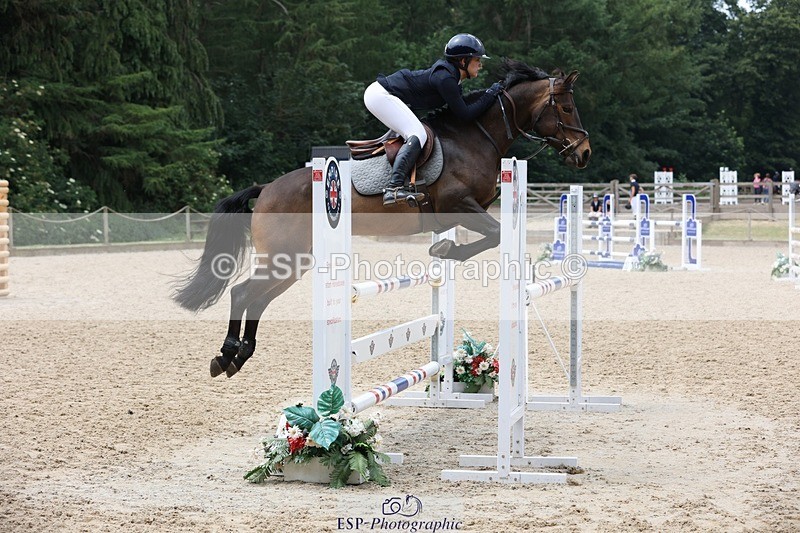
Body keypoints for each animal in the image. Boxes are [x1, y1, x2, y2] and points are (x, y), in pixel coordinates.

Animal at [172, 58, 592, 378]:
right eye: (566, 108)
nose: (584, 153)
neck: (477, 137)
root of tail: (267, 188)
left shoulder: (468, 210)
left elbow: (492, 235)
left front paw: (442, 249)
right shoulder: (460, 204)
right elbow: (496, 235)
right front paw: (445, 251)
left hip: (295, 261)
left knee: (257, 297)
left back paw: (239, 356)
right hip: (282, 256)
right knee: (243, 293)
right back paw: (226, 354)